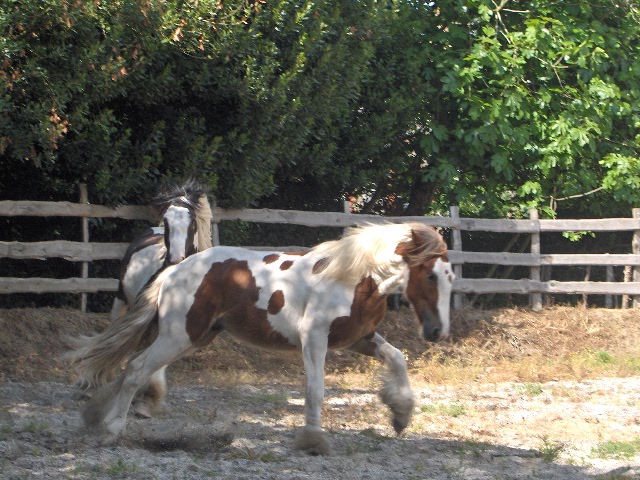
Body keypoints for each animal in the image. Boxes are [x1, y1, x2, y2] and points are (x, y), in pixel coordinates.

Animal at [65, 221, 456, 454]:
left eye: (451, 277)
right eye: (432, 276)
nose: (438, 332)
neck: (355, 279)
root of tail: (175, 269)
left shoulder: (360, 338)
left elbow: (398, 358)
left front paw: (401, 415)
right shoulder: (314, 339)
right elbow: (315, 390)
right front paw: (313, 440)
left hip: (192, 337)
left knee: (134, 366)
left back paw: (97, 415)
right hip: (179, 335)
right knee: (135, 369)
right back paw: (112, 428)